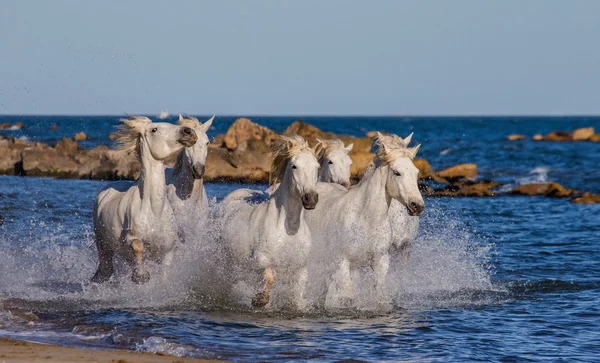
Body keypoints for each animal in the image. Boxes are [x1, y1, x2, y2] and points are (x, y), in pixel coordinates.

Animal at [91, 116, 198, 284]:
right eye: (154, 129)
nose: (189, 132)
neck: (154, 211)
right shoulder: (131, 237)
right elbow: (137, 246)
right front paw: (141, 275)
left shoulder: (167, 251)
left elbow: (165, 272)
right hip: (102, 242)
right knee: (106, 267)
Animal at [218, 135, 322, 308]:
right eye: (294, 166)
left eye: (317, 167)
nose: (311, 199)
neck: (289, 229)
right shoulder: (262, 258)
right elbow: (271, 276)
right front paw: (260, 299)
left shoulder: (301, 267)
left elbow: (298, 293)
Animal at [308, 132, 424, 308]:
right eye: (397, 172)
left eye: (416, 172)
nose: (417, 205)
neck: (366, 218)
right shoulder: (341, 262)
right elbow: (348, 297)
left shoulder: (381, 261)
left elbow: (379, 294)